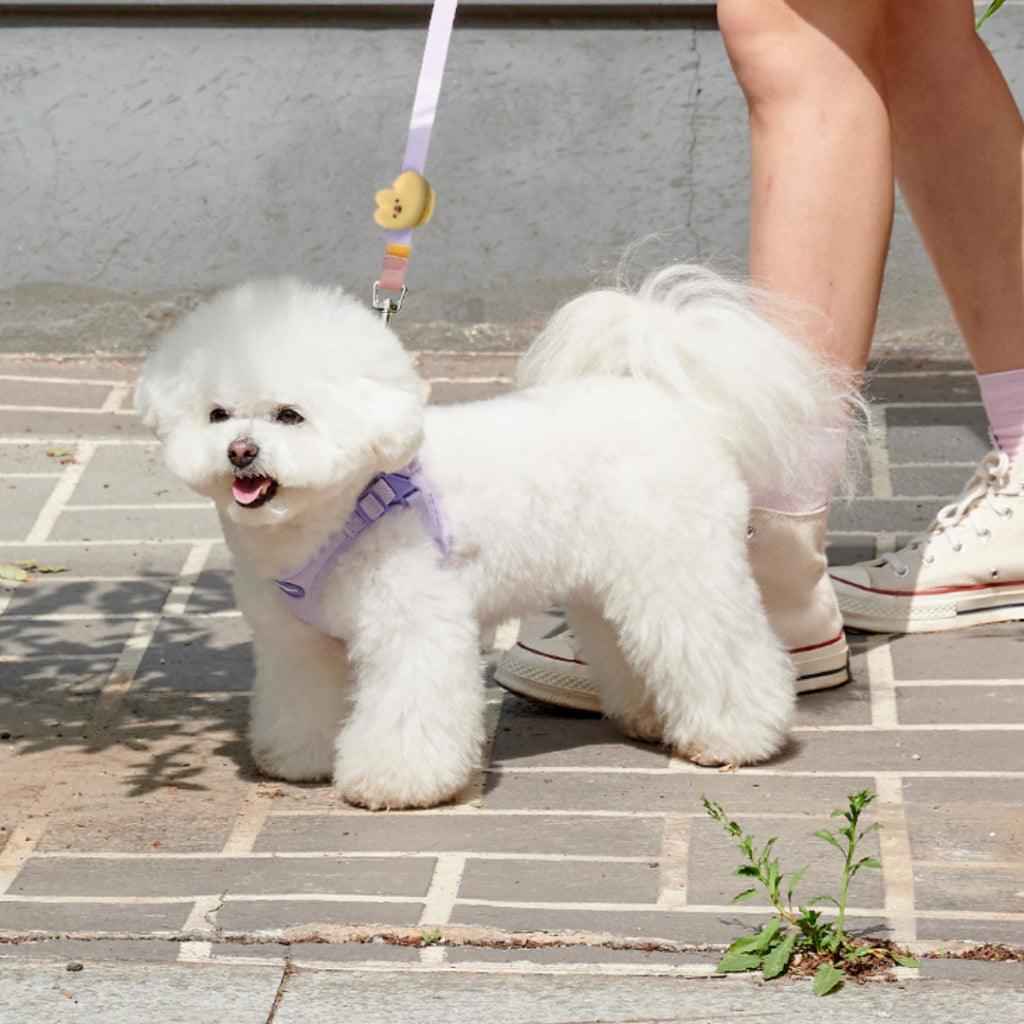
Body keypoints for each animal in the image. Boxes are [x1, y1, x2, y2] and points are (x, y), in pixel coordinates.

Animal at [134, 265, 848, 809]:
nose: (240, 452)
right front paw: (299, 757)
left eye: (290, 415)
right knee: (635, 647)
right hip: (612, 583)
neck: (346, 506)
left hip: (682, 569)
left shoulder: (415, 627)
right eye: (218, 414)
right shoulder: (296, 644)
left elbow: (408, 708)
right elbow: (302, 700)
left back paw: (735, 737)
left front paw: (395, 782)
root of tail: (664, 398)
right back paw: (653, 715)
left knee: (723, 651)